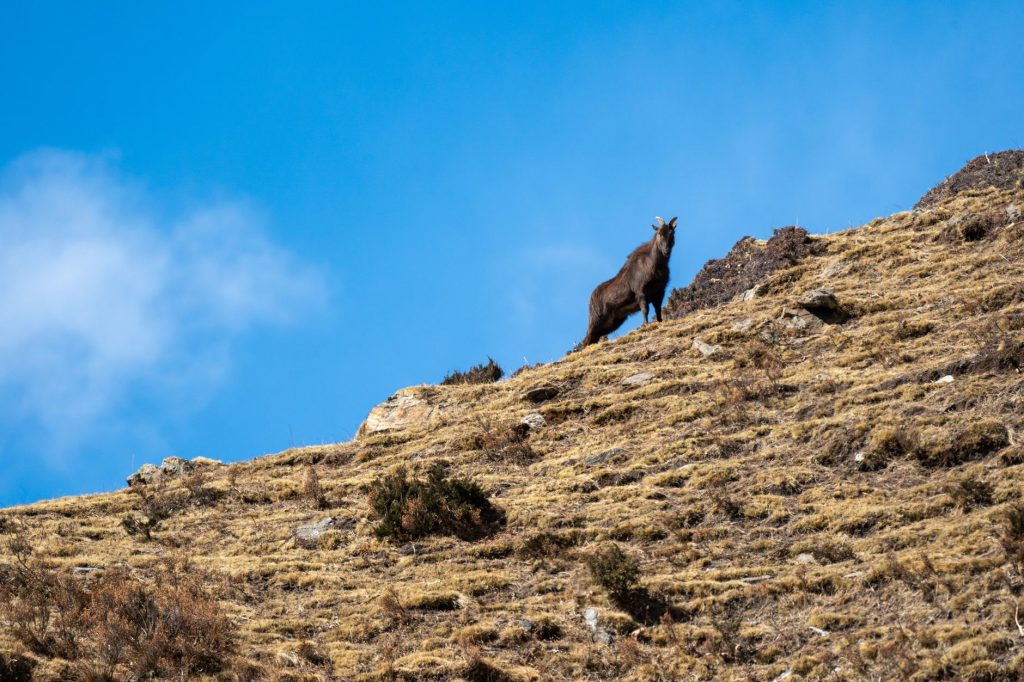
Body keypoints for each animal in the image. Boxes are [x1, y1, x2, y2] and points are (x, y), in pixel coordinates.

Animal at [582, 216, 677, 347]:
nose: (666, 250)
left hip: (613, 321)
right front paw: (646, 325)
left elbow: (658, 310)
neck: (655, 264)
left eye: (672, 234)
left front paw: (660, 322)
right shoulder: (641, 292)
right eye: (659, 234)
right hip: (597, 318)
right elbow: (645, 310)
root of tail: (591, 298)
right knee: (588, 336)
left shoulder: (659, 292)